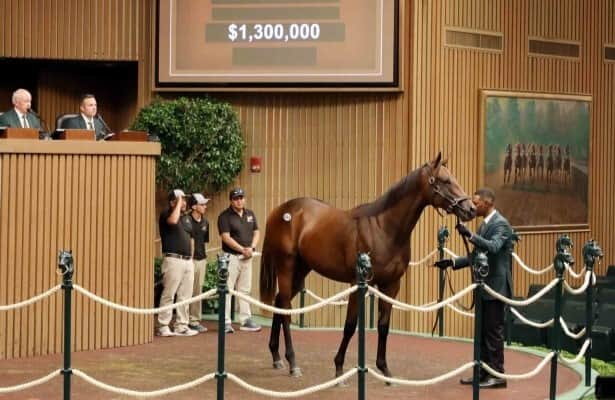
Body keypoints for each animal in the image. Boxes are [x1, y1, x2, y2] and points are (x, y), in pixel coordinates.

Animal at [260, 152, 476, 378]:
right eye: (445, 180)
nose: (471, 209)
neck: (384, 228)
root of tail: (280, 211)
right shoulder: (358, 284)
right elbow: (350, 325)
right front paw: (339, 368)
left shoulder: (391, 285)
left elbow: (383, 326)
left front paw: (384, 369)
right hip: (286, 267)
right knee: (285, 308)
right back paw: (293, 363)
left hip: (301, 270)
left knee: (279, 303)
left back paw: (276, 356)